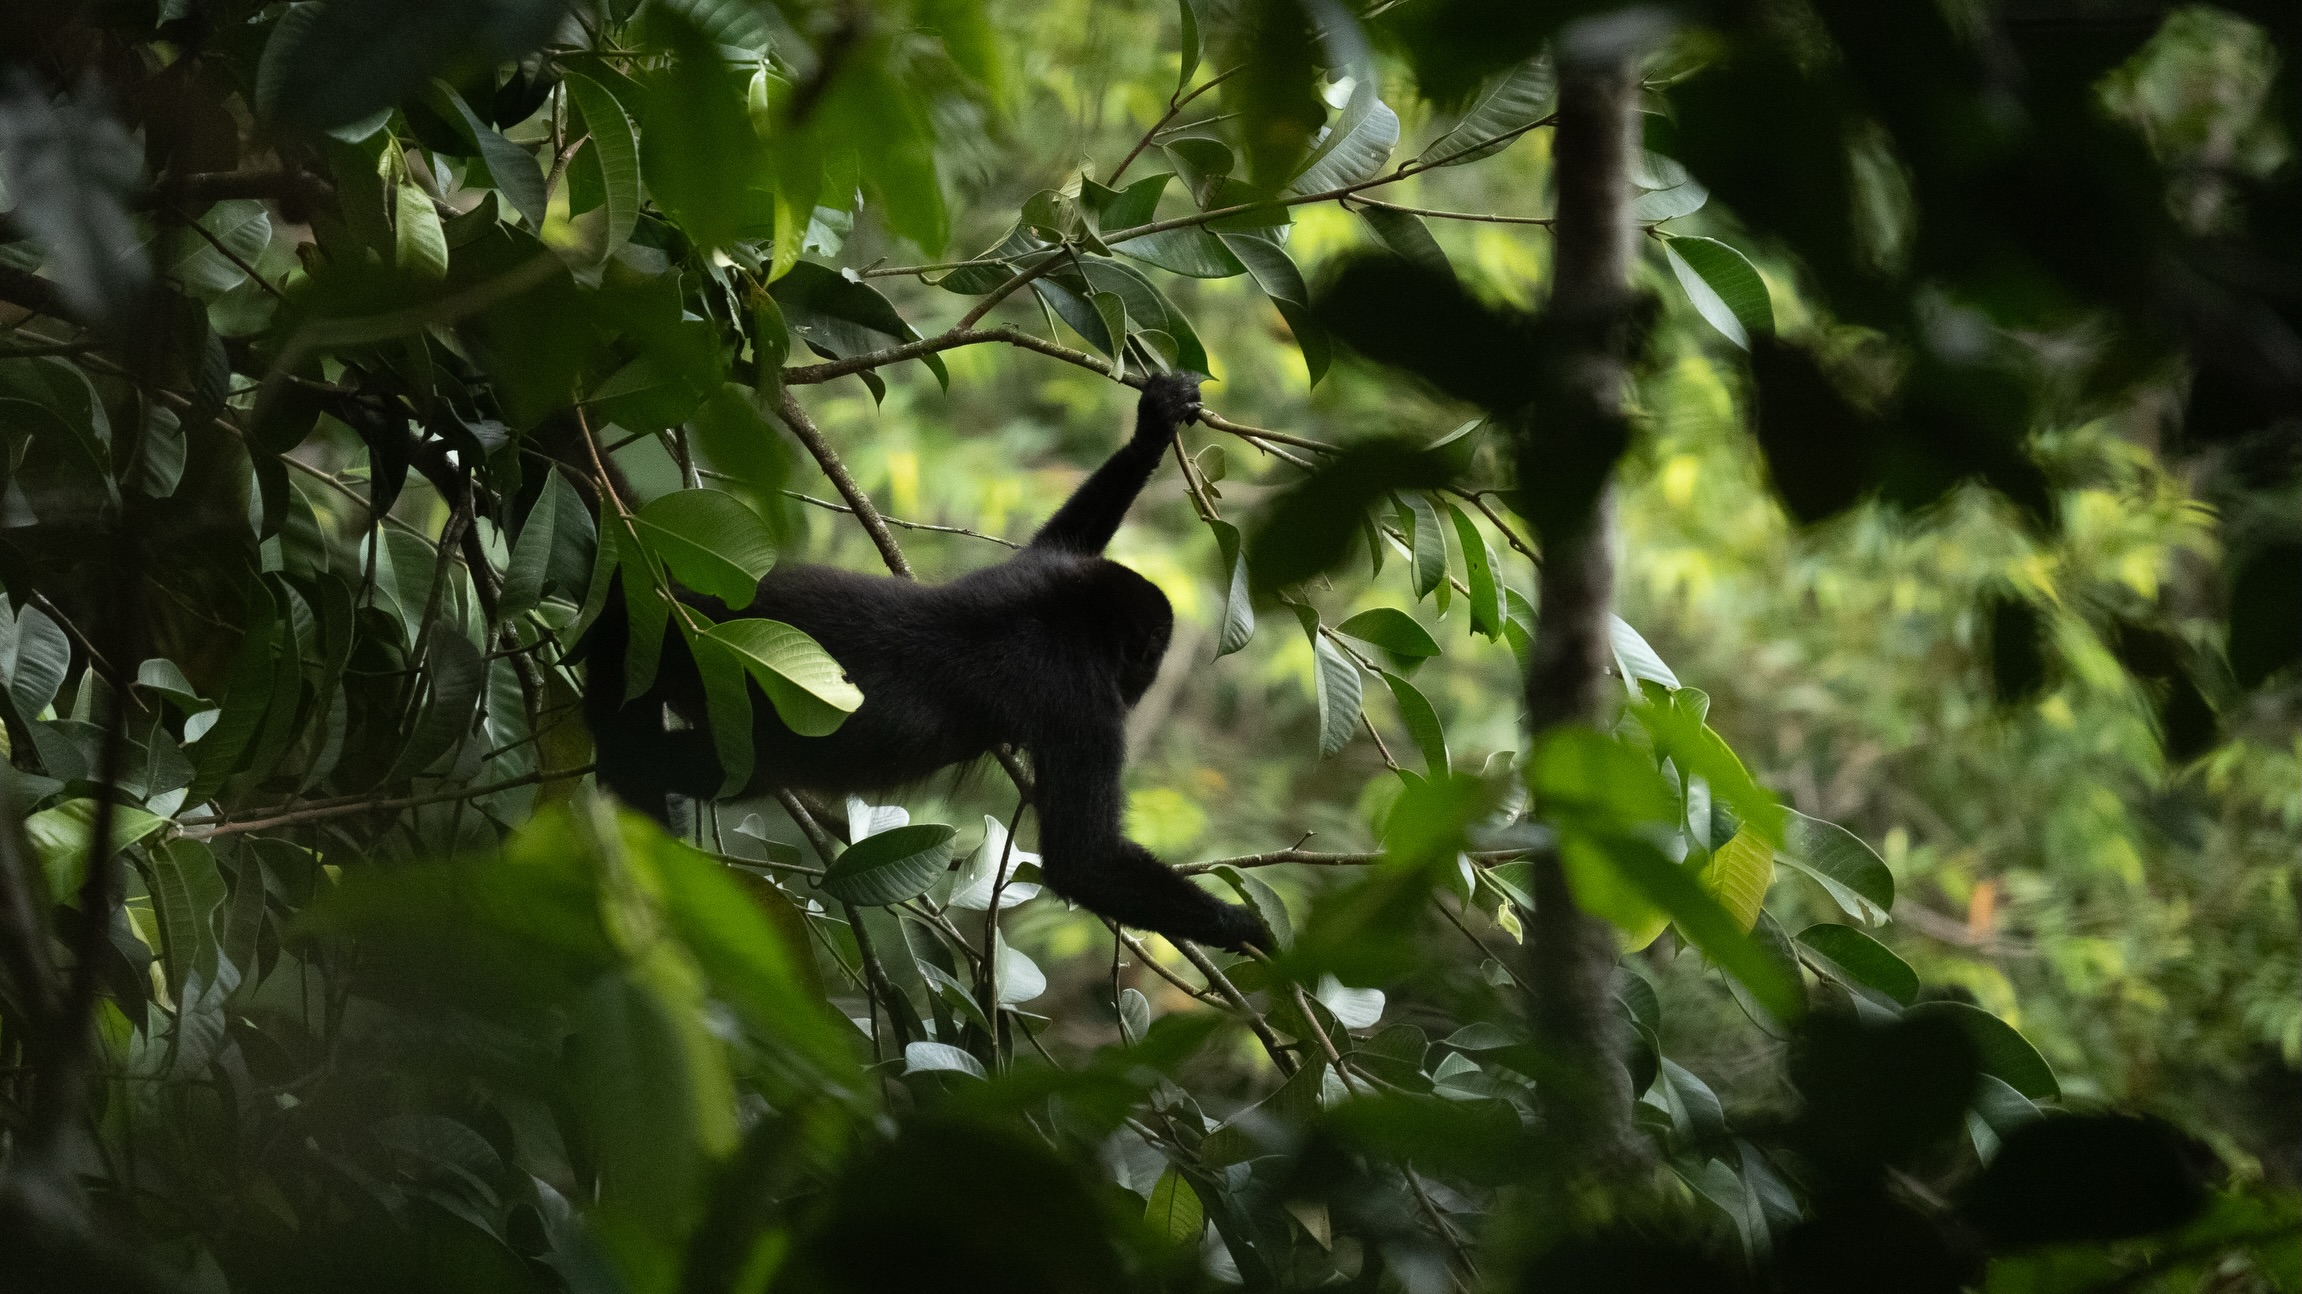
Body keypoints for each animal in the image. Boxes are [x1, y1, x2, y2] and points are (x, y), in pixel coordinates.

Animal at [581, 374, 1270, 953]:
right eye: (1146, 659)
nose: (1144, 679)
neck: (1067, 617)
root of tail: (666, 593)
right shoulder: (1084, 699)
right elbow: (1084, 860)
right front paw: (1249, 928)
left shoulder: (1039, 572)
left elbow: (1054, 540)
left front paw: (1154, 425)